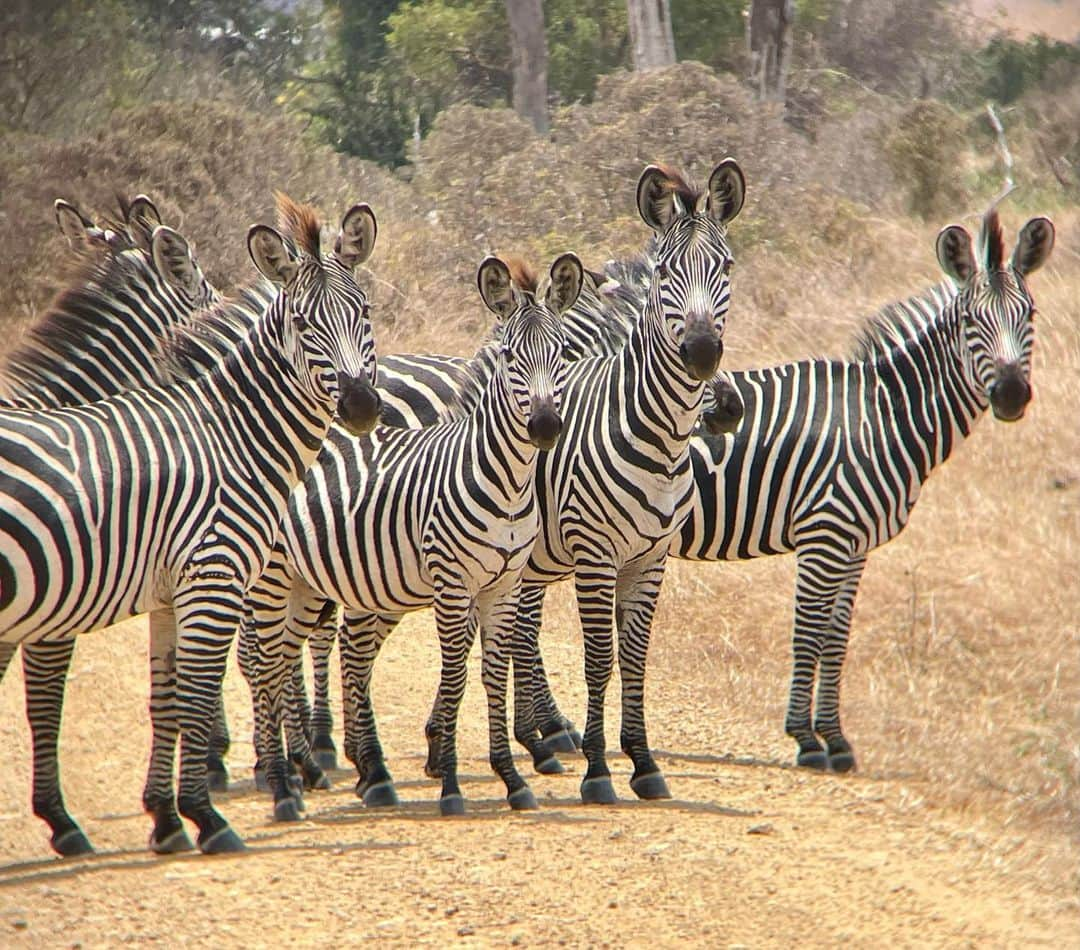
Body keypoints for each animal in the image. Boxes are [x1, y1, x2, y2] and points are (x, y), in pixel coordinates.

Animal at [1, 193, 384, 855]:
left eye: (363, 312)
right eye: (302, 324)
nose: (361, 406)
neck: (232, 434)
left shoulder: (165, 592)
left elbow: (169, 702)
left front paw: (165, 818)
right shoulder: (209, 578)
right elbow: (193, 695)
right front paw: (205, 817)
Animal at [522, 206, 1054, 772]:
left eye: (1029, 316)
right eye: (973, 323)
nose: (1012, 395)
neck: (882, 416)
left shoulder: (856, 547)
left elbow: (837, 638)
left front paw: (836, 739)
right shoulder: (826, 536)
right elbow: (808, 633)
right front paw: (807, 738)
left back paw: (549, 730)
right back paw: (551, 733)